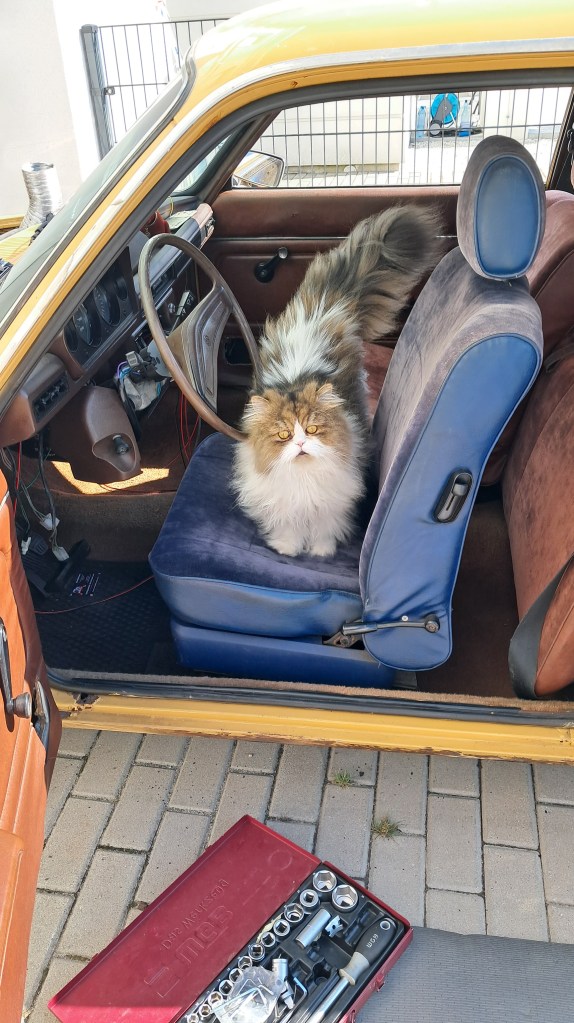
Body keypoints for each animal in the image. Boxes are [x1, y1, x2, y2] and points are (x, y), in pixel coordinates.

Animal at [232, 205, 443, 558]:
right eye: (284, 435)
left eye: (313, 429)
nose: (300, 444)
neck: (304, 478)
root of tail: (326, 302)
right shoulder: (283, 501)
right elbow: (288, 525)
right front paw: (288, 548)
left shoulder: (331, 502)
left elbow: (323, 527)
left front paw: (320, 551)